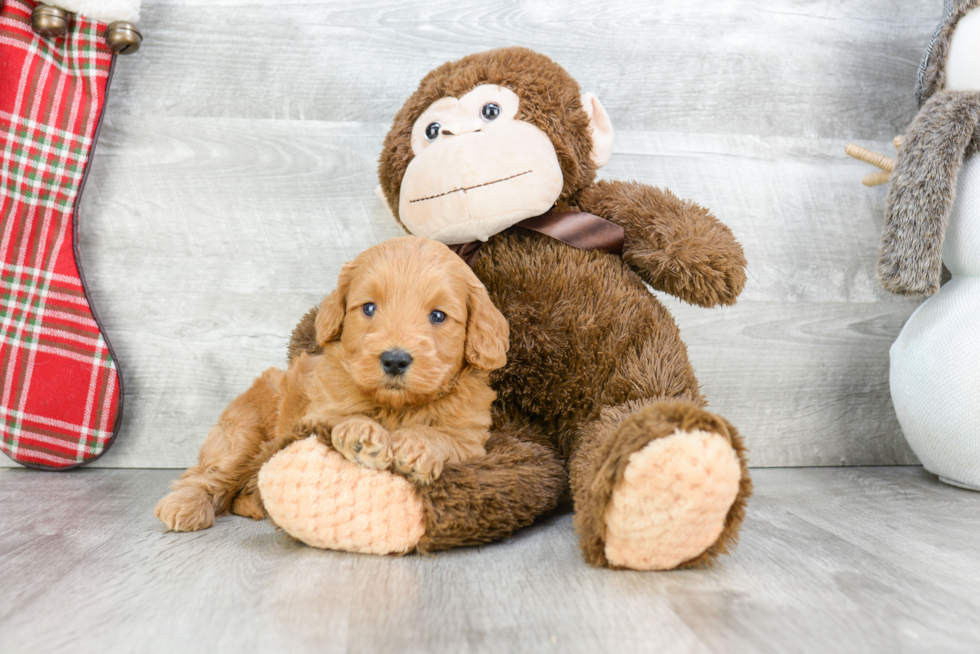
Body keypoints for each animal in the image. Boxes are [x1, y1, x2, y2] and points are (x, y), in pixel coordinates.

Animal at [156, 238, 510, 536]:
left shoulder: (469, 440)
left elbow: (440, 436)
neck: (395, 407)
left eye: (438, 316)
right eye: (369, 308)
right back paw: (185, 505)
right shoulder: (317, 412)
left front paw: (416, 447)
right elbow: (341, 416)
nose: (395, 360)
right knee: (207, 474)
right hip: (242, 435)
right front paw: (360, 432)